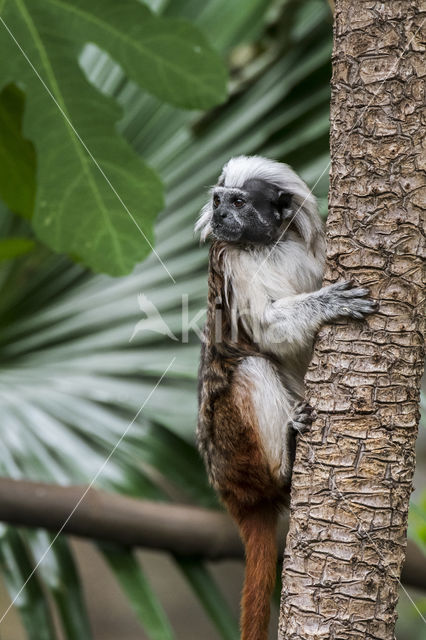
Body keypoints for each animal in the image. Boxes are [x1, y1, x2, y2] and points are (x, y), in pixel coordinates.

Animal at [194, 156, 376, 640]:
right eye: (218, 201)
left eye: (239, 202)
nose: (220, 215)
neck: (268, 247)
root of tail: (233, 494)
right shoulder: (235, 262)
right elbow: (268, 329)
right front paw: (326, 305)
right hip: (235, 449)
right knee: (251, 367)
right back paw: (288, 459)